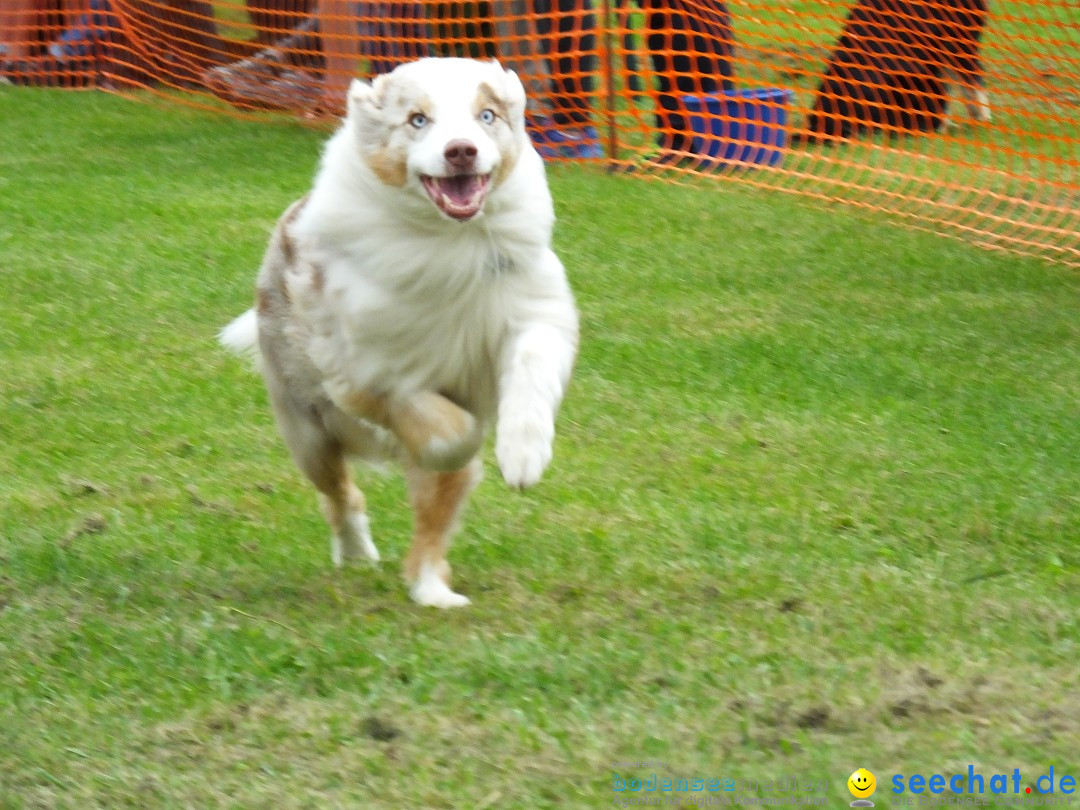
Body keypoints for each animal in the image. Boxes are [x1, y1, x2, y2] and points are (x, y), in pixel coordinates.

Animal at [214, 58, 578, 609]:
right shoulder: (363, 370)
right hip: (307, 431)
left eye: (487, 115)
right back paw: (357, 553)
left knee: (430, 528)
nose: (461, 150)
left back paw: (435, 593)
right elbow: (446, 429)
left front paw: (523, 457)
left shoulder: (533, 310)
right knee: (340, 494)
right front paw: (460, 435)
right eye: (417, 120)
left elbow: (532, 368)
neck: (450, 242)